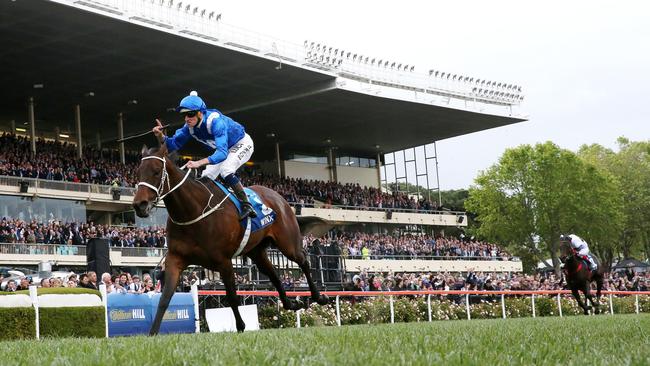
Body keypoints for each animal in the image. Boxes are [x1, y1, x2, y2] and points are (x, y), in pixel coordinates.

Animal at [130, 144, 330, 334]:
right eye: (138, 172)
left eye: (156, 171)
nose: (139, 205)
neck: (193, 211)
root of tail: (279, 197)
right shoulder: (175, 258)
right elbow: (164, 298)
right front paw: (153, 333)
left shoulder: (224, 261)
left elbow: (232, 296)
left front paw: (241, 326)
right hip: (256, 251)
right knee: (274, 274)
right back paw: (291, 303)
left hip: (288, 243)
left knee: (303, 262)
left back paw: (320, 297)